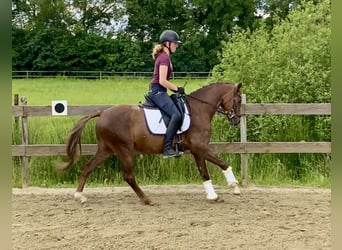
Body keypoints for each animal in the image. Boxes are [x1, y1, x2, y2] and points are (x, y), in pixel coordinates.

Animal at [56, 81, 243, 204]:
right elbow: (222, 163)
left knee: (88, 168)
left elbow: (204, 172)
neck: (198, 110)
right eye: (238, 100)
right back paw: (147, 200)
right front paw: (235, 187)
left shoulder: (197, 150)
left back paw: (79, 195)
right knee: (128, 176)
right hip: (124, 150)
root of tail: (102, 113)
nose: (236, 121)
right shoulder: (200, 147)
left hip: (106, 149)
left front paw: (213, 196)